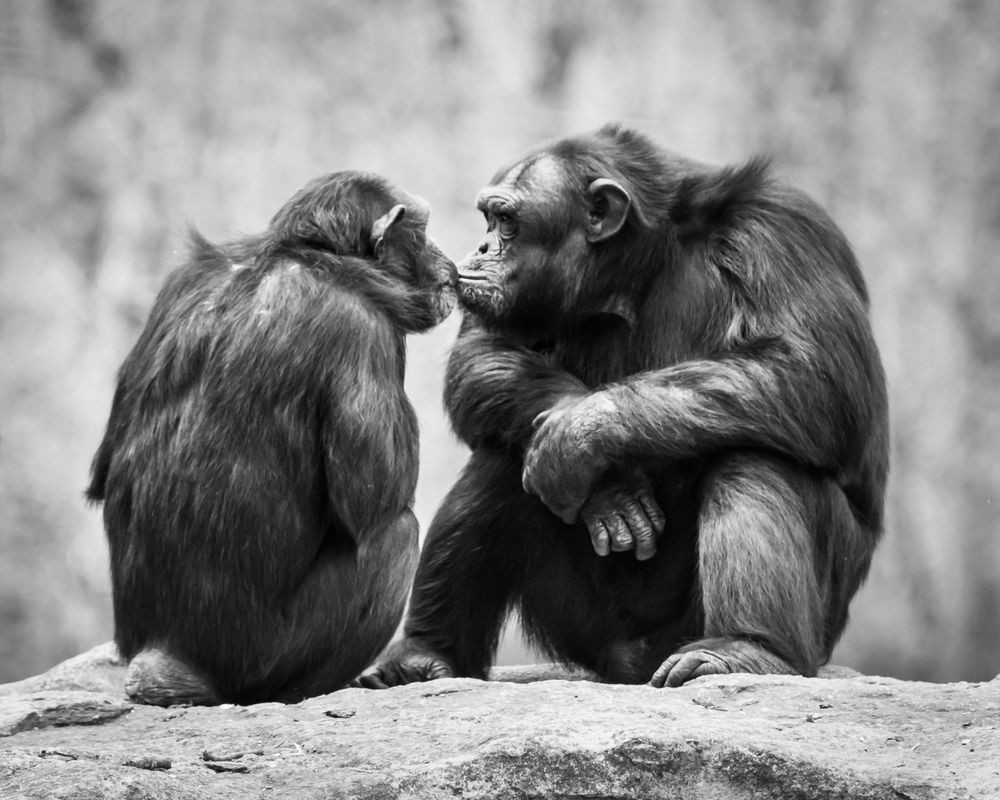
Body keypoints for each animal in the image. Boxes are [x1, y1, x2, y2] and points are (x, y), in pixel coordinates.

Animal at [90, 172, 458, 704]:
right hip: (263, 663)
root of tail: (166, 663)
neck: (304, 256)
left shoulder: (177, 283)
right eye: (423, 231)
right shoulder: (362, 326)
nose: (448, 258)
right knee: (396, 535)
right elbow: (376, 500)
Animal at [362, 123, 892, 688]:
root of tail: (632, 666)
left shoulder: (782, 229)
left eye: (505, 220)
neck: (636, 270)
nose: (481, 245)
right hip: (590, 633)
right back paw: (422, 655)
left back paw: (744, 648)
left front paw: (575, 436)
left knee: (756, 455)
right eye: (489, 218)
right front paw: (607, 487)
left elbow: (814, 370)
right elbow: (482, 350)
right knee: (501, 456)